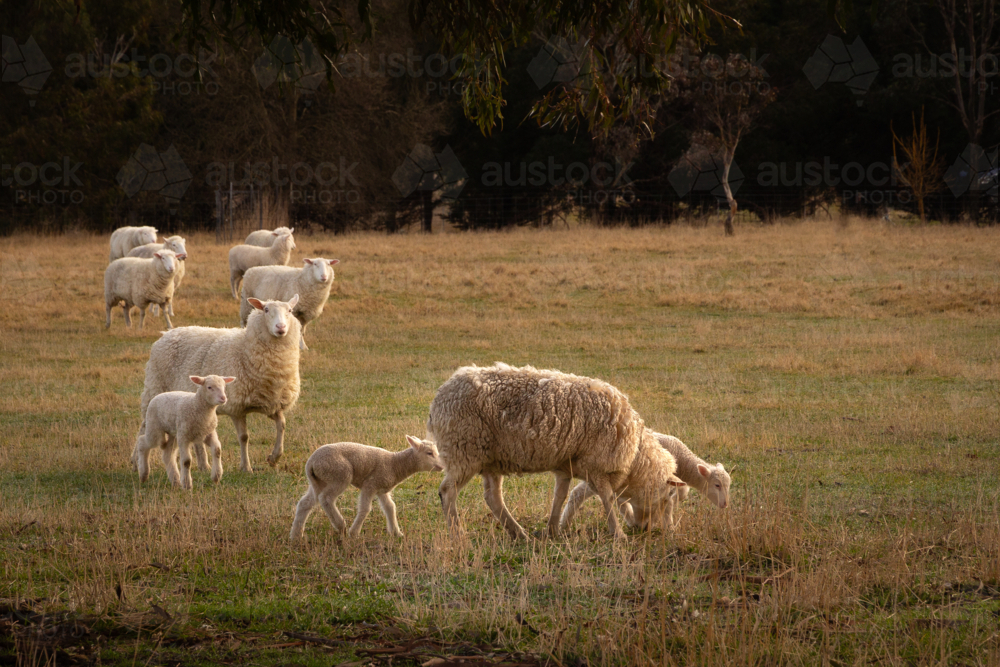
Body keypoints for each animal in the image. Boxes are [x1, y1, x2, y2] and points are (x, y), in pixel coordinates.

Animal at [134, 295, 301, 473]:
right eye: (266, 310)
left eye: (290, 310)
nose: (281, 327)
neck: (245, 349)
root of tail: (166, 333)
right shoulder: (236, 407)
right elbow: (244, 437)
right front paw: (246, 467)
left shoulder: (271, 402)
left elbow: (282, 426)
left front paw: (274, 457)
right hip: (155, 388)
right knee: (144, 426)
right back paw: (135, 462)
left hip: (192, 408)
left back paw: (204, 466)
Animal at [290, 436, 444, 540]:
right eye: (429, 453)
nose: (442, 466)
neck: (395, 464)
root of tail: (311, 462)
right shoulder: (371, 484)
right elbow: (365, 508)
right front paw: (354, 533)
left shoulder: (382, 489)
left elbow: (390, 507)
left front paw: (396, 532)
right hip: (339, 474)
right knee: (326, 498)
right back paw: (341, 525)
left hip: (319, 480)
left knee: (305, 503)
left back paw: (296, 535)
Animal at [427, 362, 681, 540]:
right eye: (667, 499)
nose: (646, 529)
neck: (636, 455)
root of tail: (438, 399)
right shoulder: (597, 465)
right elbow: (608, 498)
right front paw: (618, 534)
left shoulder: (566, 465)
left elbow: (560, 497)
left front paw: (553, 531)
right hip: (464, 450)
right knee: (447, 491)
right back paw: (458, 534)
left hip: (490, 458)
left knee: (493, 497)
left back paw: (519, 534)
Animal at [560, 432, 730, 529]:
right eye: (717, 485)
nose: (725, 505)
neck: (683, 460)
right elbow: (675, 497)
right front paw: (668, 525)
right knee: (580, 493)